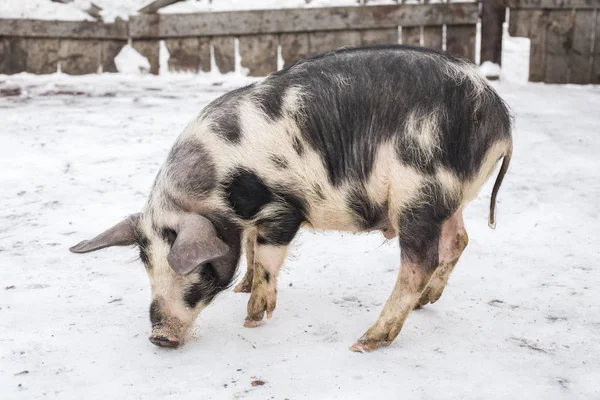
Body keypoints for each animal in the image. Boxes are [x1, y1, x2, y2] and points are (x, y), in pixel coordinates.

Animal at [69, 43, 510, 352]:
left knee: (420, 262)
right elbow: (249, 249)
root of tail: (501, 119)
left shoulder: (282, 209)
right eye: (146, 265)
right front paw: (243, 286)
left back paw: (365, 342)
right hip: (447, 198)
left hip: (419, 191)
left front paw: (251, 317)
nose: (159, 336)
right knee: (458, 240)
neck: (215, 191)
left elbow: (266, 254)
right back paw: (423, 304)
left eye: (200, 272)